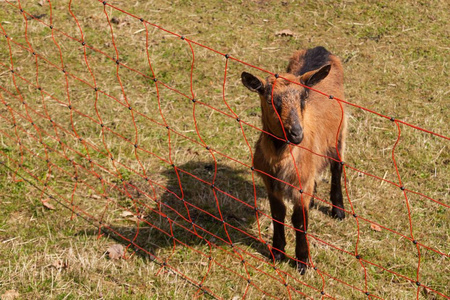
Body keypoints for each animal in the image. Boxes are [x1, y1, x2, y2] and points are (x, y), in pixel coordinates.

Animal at [241, 45, 346, 274]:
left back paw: (339, 211)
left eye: (303, 98)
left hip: (338, 134)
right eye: (271, 100)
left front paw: (303, 262)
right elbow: (278, 214)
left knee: (337, 168)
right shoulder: (271, 183)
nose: (297, 133)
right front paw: (278, 252)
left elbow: (300, 221)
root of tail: (320, 48)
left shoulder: (301, 186)